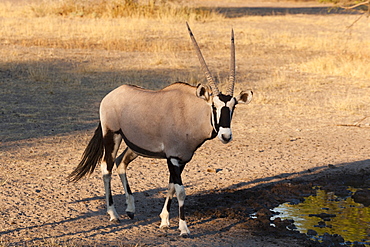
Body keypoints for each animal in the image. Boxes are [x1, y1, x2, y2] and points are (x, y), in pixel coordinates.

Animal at [68, 23, 253, 237]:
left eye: (233, 107)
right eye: (214, 106)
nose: (226, 135)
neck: (189, 112)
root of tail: (111, 95)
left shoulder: (182, 159)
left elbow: (171, 186)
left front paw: (164, 220)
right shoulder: (172, 158)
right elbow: (181, 191)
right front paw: (183, 228)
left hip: (134, 146)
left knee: (121, 162)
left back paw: (130, 209)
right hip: (112, 135)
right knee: (106, 167)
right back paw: (113, 214)